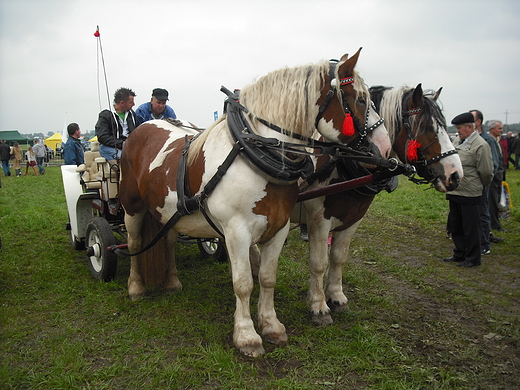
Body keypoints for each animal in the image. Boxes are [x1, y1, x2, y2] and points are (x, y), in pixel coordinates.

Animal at [119, 48, 390, 356]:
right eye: (361, 99)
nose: (384, 148)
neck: (255, 151)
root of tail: (143, 127)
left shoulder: (279, 226)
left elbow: (268, 277)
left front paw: (271, 326)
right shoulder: (237, 231)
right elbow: (244, 283)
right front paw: (247, 336)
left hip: (169, 214)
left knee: (168, 242)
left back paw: (172, 282)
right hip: (132, 207)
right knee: (135, 243)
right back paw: (136, 287)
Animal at [302, 84, 466, 324]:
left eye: (445, 126)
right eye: (427, 126)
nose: (455, 175)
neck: (344, 160)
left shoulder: (353, 219)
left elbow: (339, 258)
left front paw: (337, 297)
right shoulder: (319, 220)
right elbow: (319, 262)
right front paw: (319, 306)